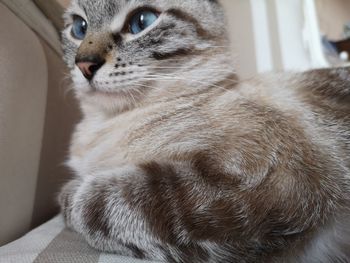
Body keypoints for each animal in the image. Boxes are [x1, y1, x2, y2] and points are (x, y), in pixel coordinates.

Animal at [58, 0, 350, 262]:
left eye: (142, 21)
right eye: (79, 28)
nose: (84, 64)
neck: (103, 124)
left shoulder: (256, 181)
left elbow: (88, 199)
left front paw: (71, 193)